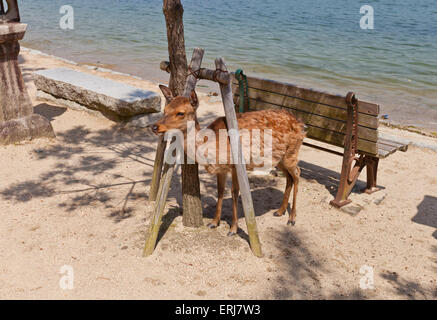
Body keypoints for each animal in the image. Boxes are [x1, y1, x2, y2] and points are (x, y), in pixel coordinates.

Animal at [152, 86, 304, 236]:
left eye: (180, 113)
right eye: (165, 109)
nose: (155, 126)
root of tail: (300, 123)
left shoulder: (236, 165)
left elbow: (234, 192)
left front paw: (233, 229)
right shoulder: (221, 169)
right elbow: (220, 191)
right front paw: (214, 222)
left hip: (292, 152)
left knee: (297, 173)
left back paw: (292, 218)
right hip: (279, 158)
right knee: (289, 177)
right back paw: (280, 211)